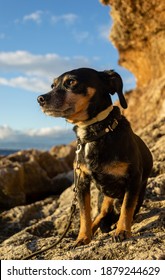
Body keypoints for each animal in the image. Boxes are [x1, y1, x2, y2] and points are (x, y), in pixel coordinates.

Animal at [37, 68, 153, 245]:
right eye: (52, 85)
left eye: (71, 82)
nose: (40, 98)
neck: (94, 133)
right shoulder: (81, 181)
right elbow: (85, 214)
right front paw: (83, 237)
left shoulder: (133, 178)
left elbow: (127, 208)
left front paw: (122, 231)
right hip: (104, 198)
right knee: (100, 215)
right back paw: (93, 229)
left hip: (137, 194)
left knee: (125, 210)